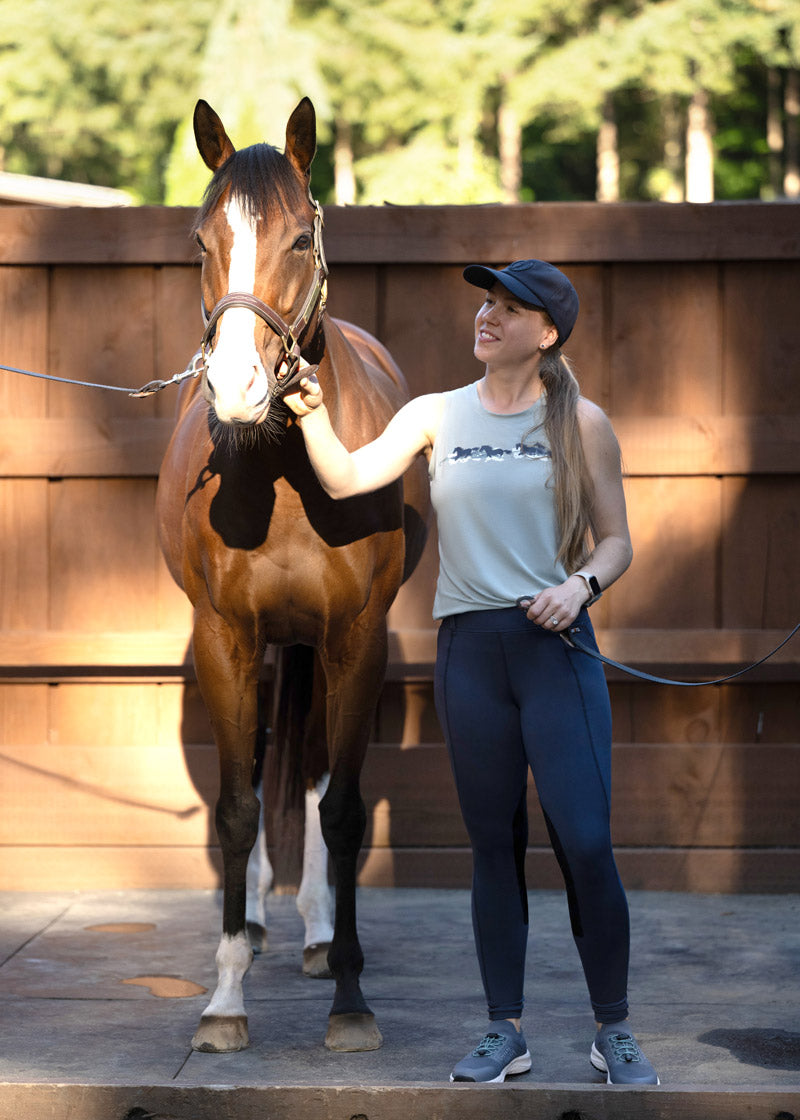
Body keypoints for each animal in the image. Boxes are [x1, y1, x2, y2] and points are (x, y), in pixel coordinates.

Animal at [156, 97, 429, 1055]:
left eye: (299, 240)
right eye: (202, 240)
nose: (237, 387)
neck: (282, 471)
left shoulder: (355, 640)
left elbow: (340, 806)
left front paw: (349, 997)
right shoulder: (226, 639)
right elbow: (238, 806)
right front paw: (225, 997)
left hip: (317, 647)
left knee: (308, 772)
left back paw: (315, 932)